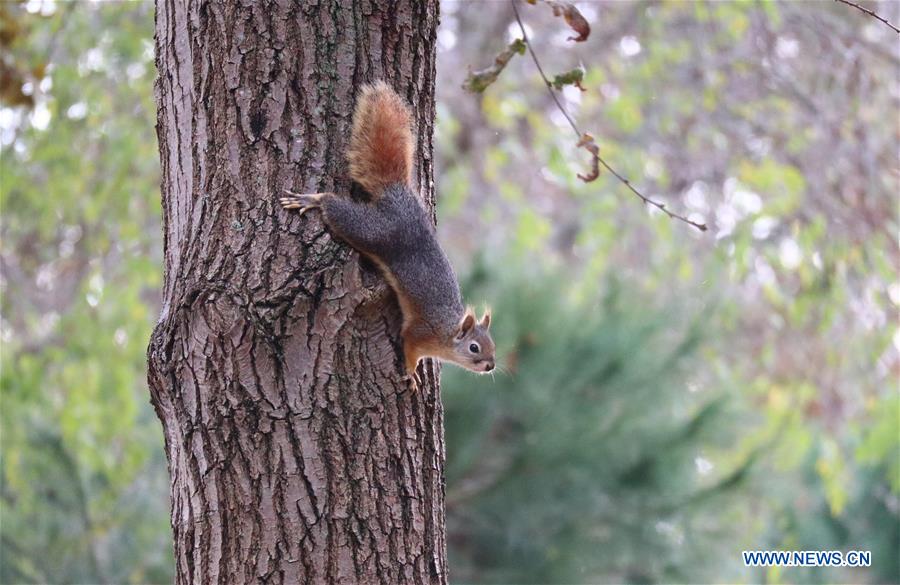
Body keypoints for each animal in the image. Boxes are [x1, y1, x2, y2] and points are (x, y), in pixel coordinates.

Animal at [280, 81, 495, 390]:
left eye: (493, 346)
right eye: (474, 347)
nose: (491, 365)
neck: (446, 332)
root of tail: (398, 194)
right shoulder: (418, 333)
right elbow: (409, 348)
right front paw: (412, 373)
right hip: (372, 231)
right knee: (337, 210)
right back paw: (314, 200)